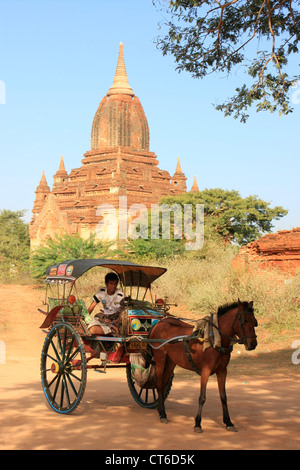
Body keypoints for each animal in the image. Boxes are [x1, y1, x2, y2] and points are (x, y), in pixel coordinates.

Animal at [148, 302, 258, 434]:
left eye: (255, 322)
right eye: (244, 321)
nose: (253, 344)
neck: (215, 339)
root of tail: (159, 323)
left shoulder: (222, 371)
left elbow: (223, 397)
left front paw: (228, 422)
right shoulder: (206, 370)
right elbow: (202, 397)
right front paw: (197, 423)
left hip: (171, 361)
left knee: (164, 382)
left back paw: (161, 410)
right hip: (160, 357)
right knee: (159, 384)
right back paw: (163, 415)